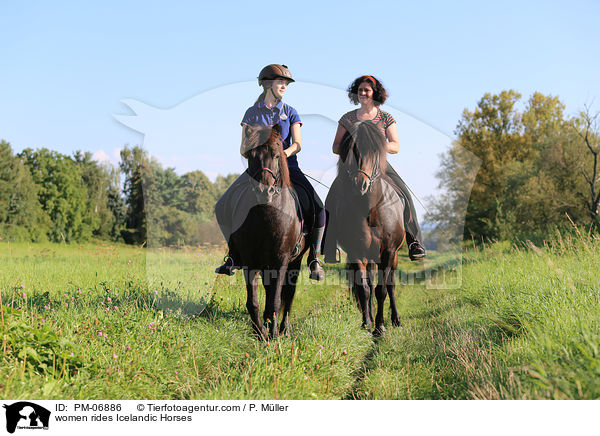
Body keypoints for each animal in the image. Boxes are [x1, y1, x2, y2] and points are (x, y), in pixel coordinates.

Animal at [218, 124, 308, 338]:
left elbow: (276, 300)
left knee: (288, 295)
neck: (266, 214)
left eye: (276, 155)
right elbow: (253, 301)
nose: (263, 191)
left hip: (296, 261)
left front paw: (273, 335)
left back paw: (283, 329)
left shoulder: (281, 260)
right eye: (250, 156)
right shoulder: (249, 261)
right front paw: (260, 332)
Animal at [326, 121, 406, 336]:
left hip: (394, 255)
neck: (369, 208)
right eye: (351, 149)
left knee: (391, 285)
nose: (359, 184)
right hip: (369, 256)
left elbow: (382, 290)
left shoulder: (388, 252)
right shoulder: (357, 252)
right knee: (369, 284)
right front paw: (367, 324)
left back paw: (396, 320)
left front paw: (380, 326)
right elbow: (364, 289)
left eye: (374, 151)